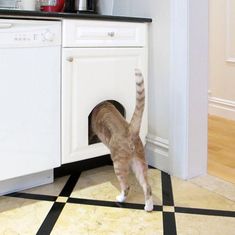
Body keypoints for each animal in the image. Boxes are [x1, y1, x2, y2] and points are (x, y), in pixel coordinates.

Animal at [90, 69, 154, 212]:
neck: (104, 103)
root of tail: (130, 129)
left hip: (119, 164)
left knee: (126, 186)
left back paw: (120, 198)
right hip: (139, 163)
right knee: (147, 186)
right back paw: (148, 206)